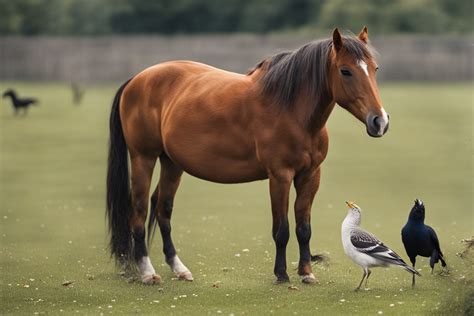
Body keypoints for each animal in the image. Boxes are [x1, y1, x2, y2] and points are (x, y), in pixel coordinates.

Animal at [106, 26, 388, 284]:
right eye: (346, 71)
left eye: (375, 69)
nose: (380, 121)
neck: (290, 109)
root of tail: (137, 79)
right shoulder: (280, 176)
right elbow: (282, 229)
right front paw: (281, 274)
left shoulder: (310, 176)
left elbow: (303, 228)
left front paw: (307, 272)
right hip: (143, 158)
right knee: (139, 210)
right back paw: (147, 272)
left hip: (172, 163)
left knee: (163, 210)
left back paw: (179, 269)